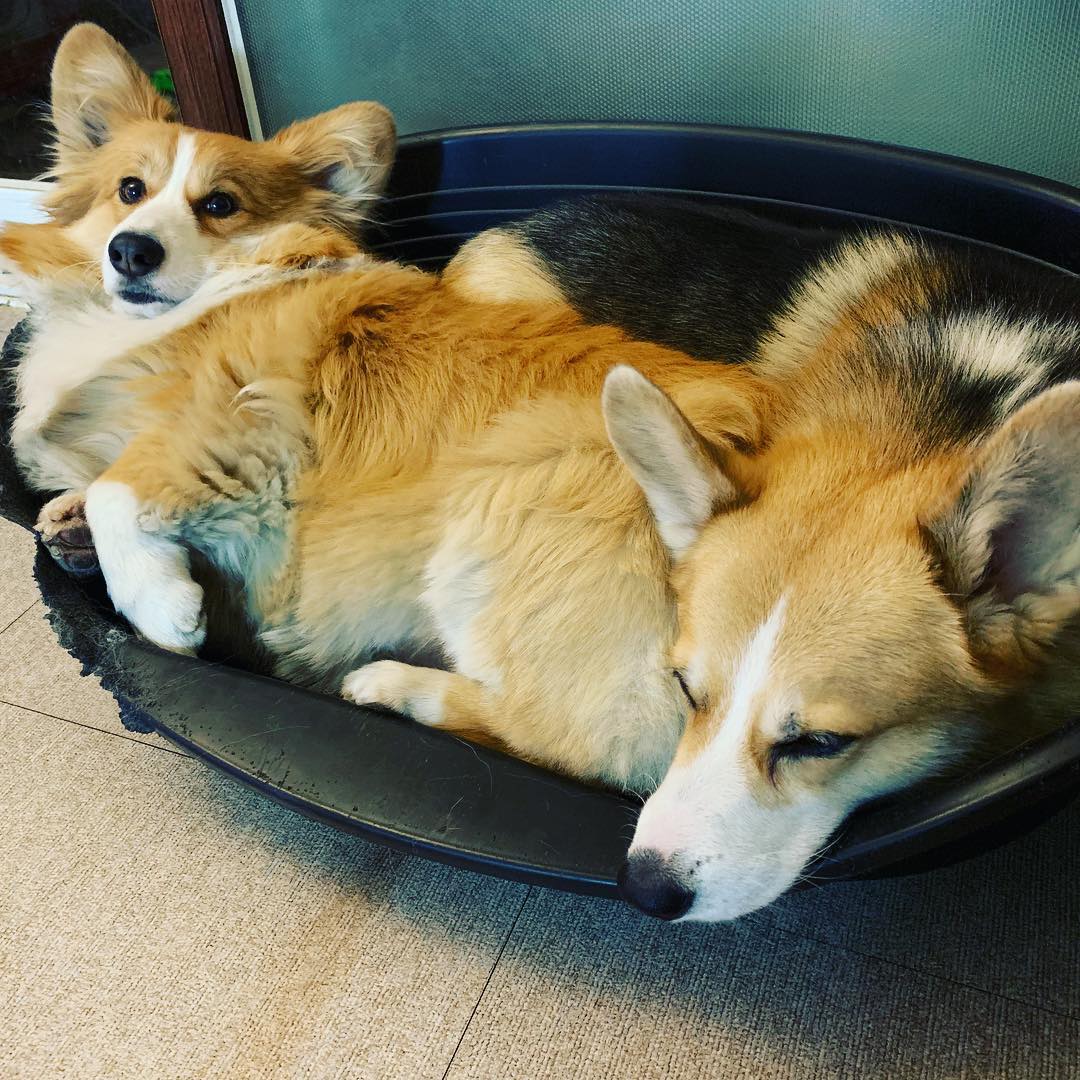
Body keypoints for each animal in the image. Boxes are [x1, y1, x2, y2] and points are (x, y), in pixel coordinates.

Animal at [5, 24, 1080, 923]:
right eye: (129, 189)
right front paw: (70, 523)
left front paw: (159, 607)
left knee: (565, 737)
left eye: (218, 205)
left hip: (489, 518)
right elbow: (95, 484)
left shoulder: (246, 431)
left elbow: (131, 487)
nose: (131, 251)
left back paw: (384, 684)